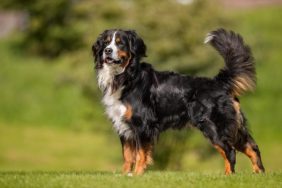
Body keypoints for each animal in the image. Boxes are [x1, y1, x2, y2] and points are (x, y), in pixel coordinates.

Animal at [92, 28, 264, 176]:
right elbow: (128, 156)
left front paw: (137, 175)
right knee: (252, 147)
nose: (108, 50)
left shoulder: (142, 125)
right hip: (234, 126)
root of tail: (220, 82)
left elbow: (140, 155)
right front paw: (124, 176)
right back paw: (259, 174)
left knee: (230, 151)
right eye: (106, 43)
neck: (126, 77)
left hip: (214, 127)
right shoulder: (124, 126)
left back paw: (228, 176)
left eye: (120, 43)